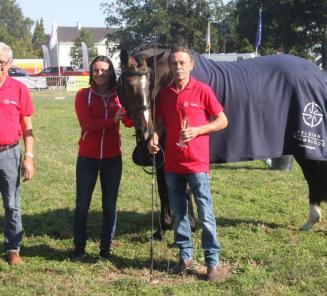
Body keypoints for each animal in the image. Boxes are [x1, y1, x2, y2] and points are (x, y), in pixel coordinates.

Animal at [119, 46, 327, 232]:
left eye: (149, 86)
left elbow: (184, 188)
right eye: (127, 86)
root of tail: (317, 74)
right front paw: (164, 226)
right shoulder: (162, 153)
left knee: (313, 175)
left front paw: (190, 225)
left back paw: (312, 220)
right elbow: (163, 187)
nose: (146, 131)